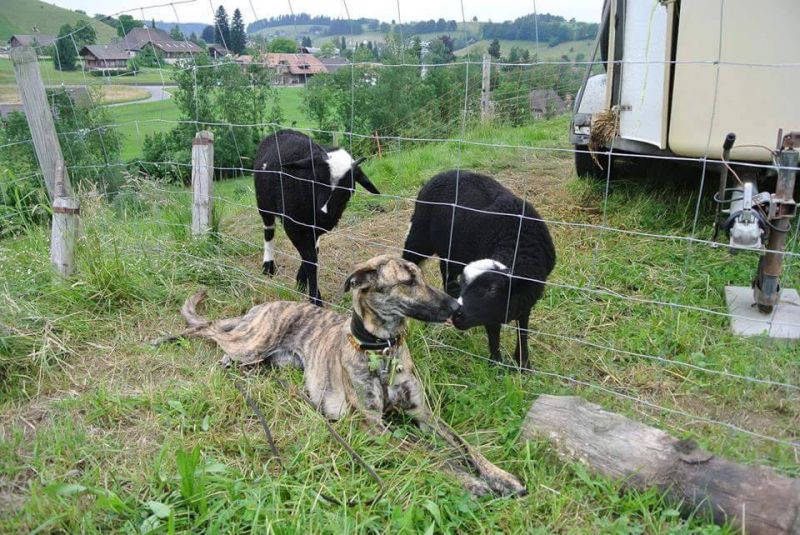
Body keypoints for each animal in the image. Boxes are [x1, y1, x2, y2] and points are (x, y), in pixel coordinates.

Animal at [171, 255, 526, 497]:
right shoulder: (374, 425)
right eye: (408, 282)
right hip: (252, 345)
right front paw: (469, 481)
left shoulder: (423, 413)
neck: (382, 352)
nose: (456, 308)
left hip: (271, 360)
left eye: (422, 278)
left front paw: (501, 476)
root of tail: (261, 308)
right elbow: (430, 452)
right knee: (211, 331)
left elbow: (465, 446)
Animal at [254, 130, 380, 305]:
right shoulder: (293, 226)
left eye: (349, 188)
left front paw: (301, 282)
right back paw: (268, 266)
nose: (324, 214)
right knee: (268, 232)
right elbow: (310, 259)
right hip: (263, 204)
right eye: (316, 178)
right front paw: (315, 298)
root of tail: (281, 132)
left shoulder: (316, 228)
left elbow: (312, 255)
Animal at [402, 170, 556, 368]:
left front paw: (523, 363)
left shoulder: (525, 298)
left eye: (492, 290)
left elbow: (523, 329)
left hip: (451, 250)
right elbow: (494, 333)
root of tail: (445, 173)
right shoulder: (490, 312)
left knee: (446, 273)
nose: (457, 315)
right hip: (419, 237)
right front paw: (497, 364)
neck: (516, 243)